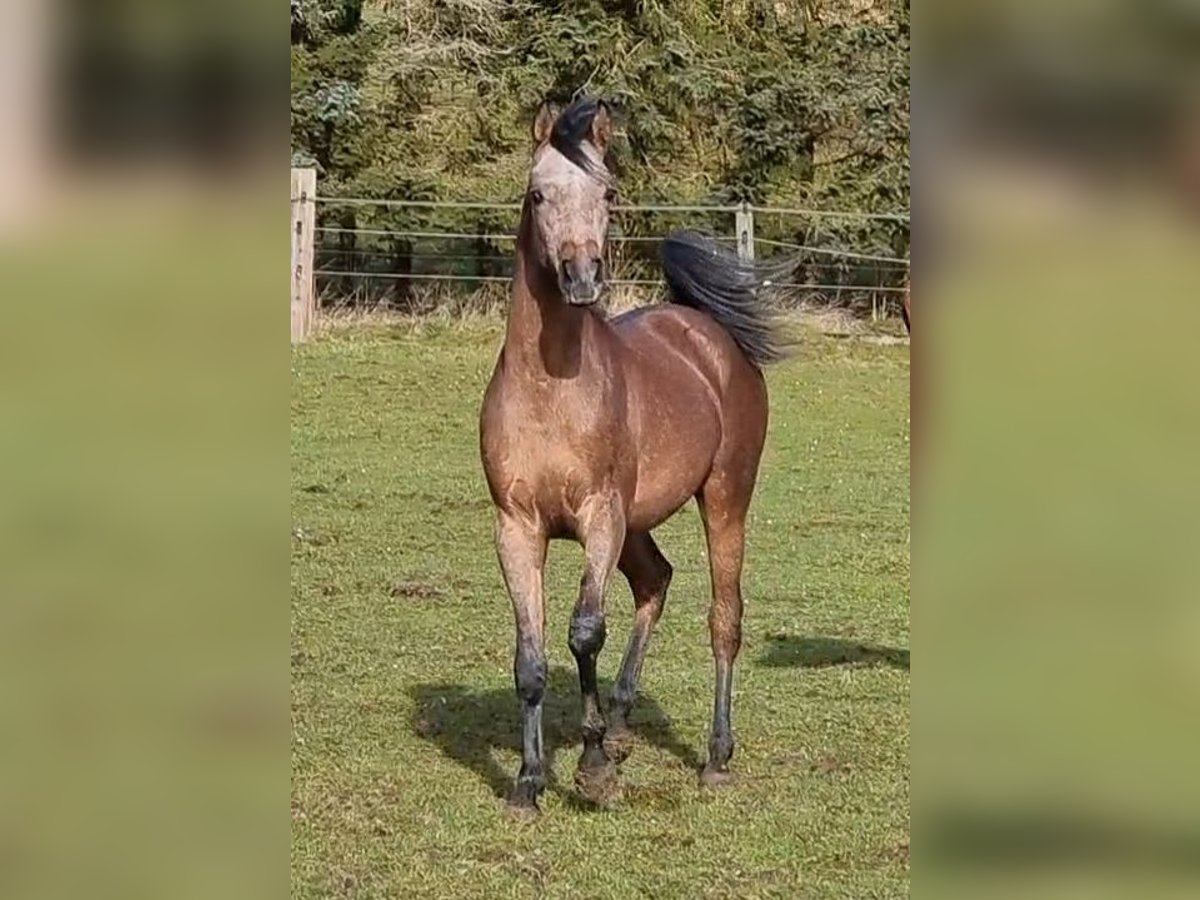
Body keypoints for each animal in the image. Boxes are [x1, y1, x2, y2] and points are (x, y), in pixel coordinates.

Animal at [477, 98, 787, 816]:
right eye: (537, 194)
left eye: (608, 193)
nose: (582, 277)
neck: (551, 392)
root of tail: (707, 332)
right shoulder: (517, 527)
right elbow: (530, 658)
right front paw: (528, 783)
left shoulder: (599, 517)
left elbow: (585, 630)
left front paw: (591, 769)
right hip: (639, 523)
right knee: (655, 582)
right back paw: (620, 728)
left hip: (724, 498)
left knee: (724, 618)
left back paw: (714, 758)